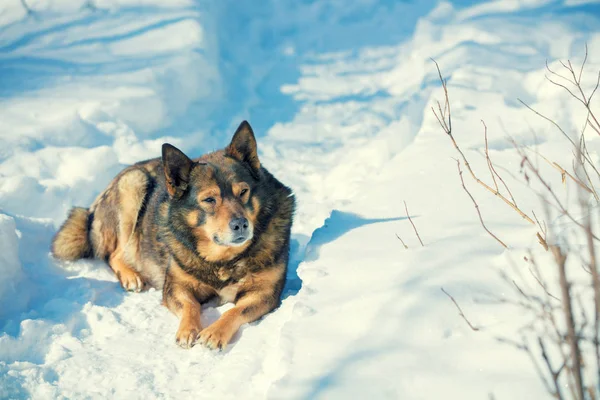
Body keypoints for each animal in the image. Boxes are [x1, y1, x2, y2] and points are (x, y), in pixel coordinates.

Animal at [51, 122, 296, 350]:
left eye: (243, 192)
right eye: (209, 200)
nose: (241, 224)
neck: (223, 260)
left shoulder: (265, 294)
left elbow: (234, 311)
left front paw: (214, 332)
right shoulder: (175, 286)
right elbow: (190, 305)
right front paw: (188, 330)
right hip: (133, 185)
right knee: (113, 254)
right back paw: (131, 276)